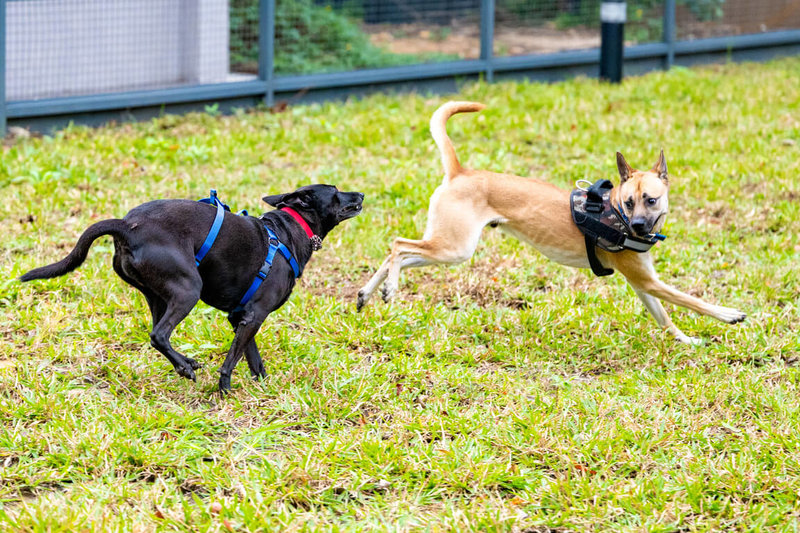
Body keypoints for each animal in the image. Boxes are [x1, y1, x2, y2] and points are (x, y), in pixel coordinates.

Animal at [21, 185, 366, 392]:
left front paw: (263, 386)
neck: (289, 230)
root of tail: (127, 225)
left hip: (159, 296)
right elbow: (232, 361)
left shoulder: (242, 317)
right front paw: (225, 390)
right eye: (336, 193)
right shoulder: (254, 314)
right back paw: (187, 365)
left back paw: (182, 363)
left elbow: (253, 358)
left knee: (157, 335)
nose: (361, 195)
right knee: (159, 334)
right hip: (188, 290)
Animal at [360, 101, 748, 342]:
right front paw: (729, 314)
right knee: (398, 246)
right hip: (453, 247)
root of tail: (460, 172)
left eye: (650, 200)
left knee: (399, 255)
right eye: (628, 202)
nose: (638, 227)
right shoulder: (648, 281)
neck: (614, 214)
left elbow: (665, 317)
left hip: (449, 248)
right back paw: (389, 287)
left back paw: (370, 291)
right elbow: (691, 300)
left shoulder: (643, 284)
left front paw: (686, 340)